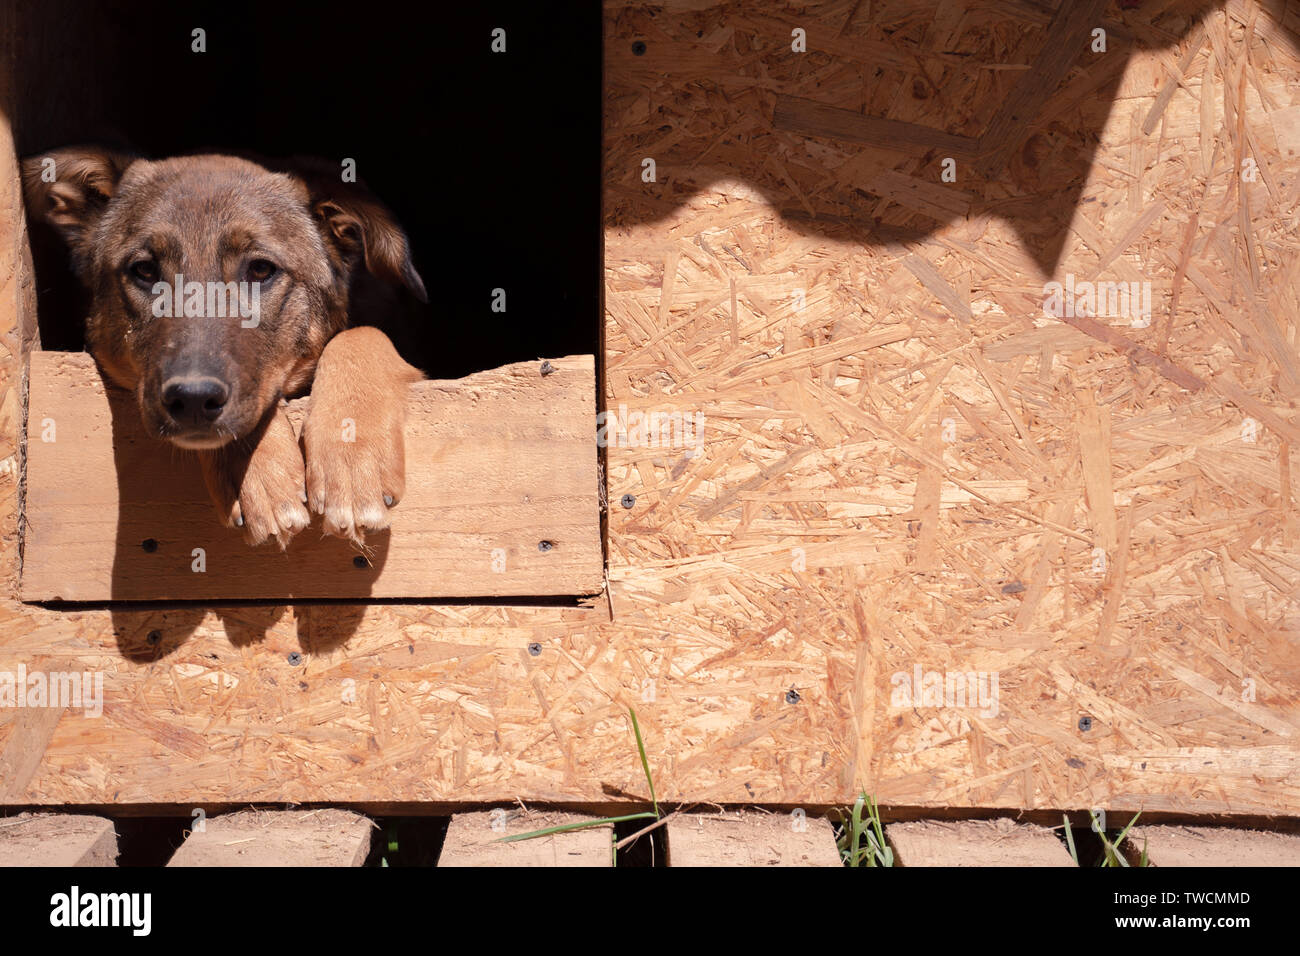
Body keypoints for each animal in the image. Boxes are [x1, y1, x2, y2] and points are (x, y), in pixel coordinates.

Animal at [21, 150, 426, 554]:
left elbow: (362, 333)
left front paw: (353, 464)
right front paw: (260, 472)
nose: (193, 400)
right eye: (144, 270)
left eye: (261, 269)